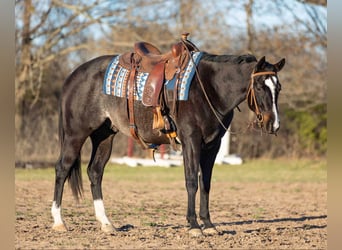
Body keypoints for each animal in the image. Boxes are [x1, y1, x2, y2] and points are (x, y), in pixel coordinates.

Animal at [51, 40, 286, 235]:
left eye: (278, 88)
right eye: (259, 86)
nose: (273, 124)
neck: (209, 87)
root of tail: (73, 75)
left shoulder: (213, 145)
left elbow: (206, 183)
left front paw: (208, 224)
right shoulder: (191, 141)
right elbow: (191, 182)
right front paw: (194, 225)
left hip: (104, 136)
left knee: (95, 172)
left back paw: (106, 223)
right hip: (75, 134)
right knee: (62, 168)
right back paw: (59, 222)